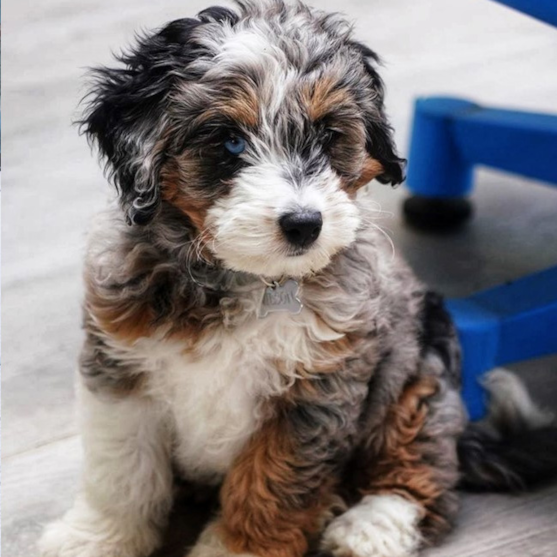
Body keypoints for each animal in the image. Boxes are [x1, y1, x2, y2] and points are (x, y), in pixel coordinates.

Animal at [39, 1, 556, 556]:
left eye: (329, 135)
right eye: (229, 141)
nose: (305, 224)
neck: (243, 278)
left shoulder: (314, 396)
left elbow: (271, 486)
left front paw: (234, 548)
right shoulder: (120, 371)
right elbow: (121, 471)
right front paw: (95, 537)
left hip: (418, 385)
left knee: (424, 476)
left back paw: (367, 526)